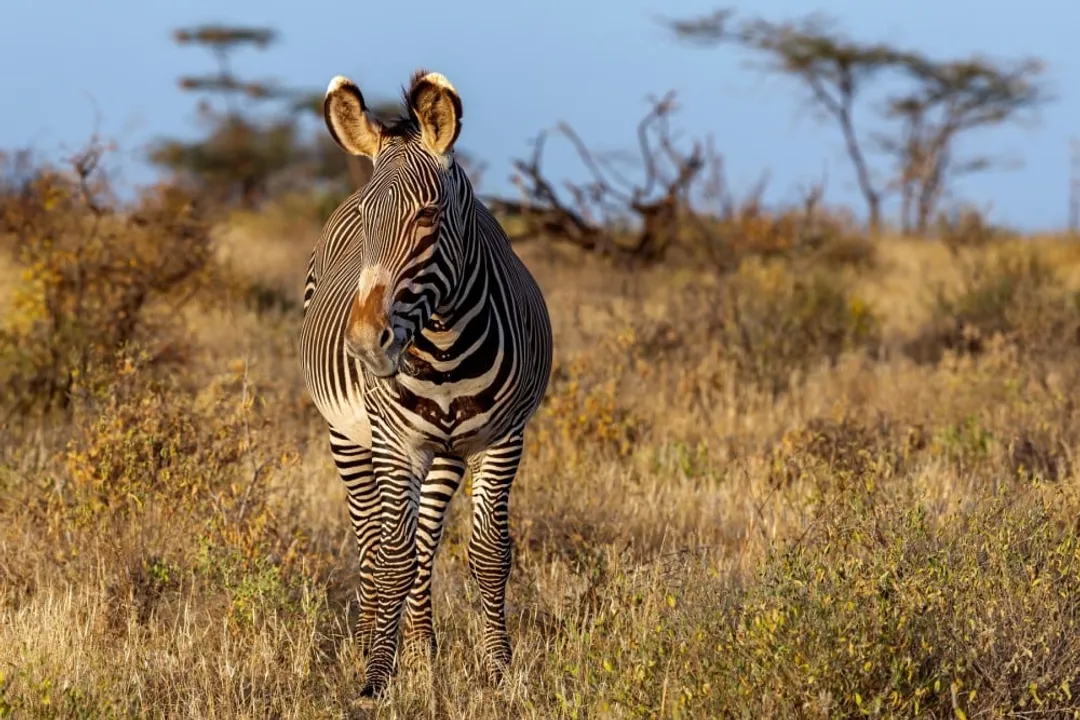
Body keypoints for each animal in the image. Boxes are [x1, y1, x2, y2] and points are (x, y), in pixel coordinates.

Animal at [299, 69, 553, 698]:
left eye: (428, 218)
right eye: (368, 223)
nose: (366, 344)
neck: (443, 345)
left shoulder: (502, 439)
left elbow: (487, 553)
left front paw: (498, 671)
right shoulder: (394, 442)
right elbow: (390, 554)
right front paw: (374, 678)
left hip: (444, 454)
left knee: (423, 543)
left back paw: (421, 651)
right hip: (348, 435)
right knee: (370, 539)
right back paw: (372, 639)